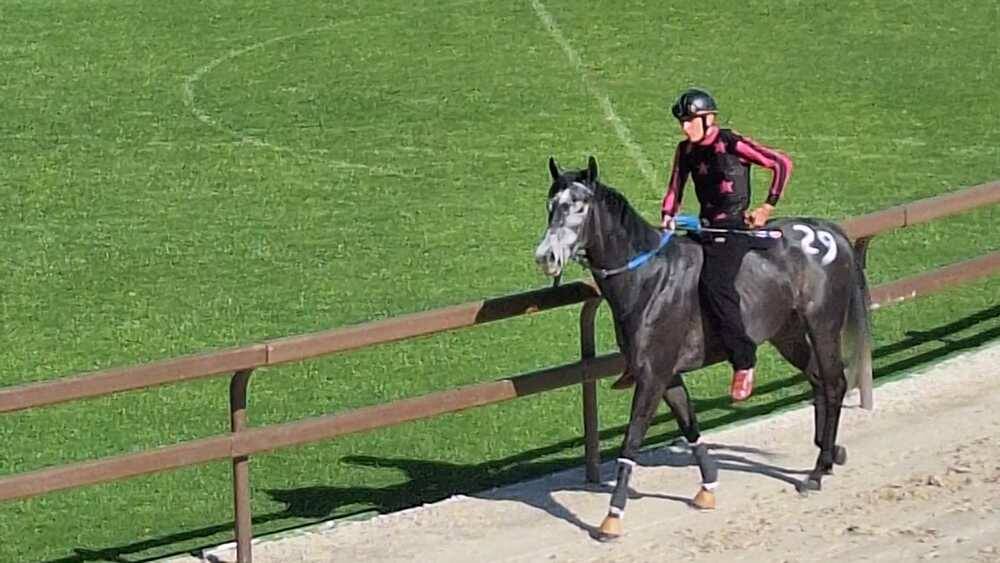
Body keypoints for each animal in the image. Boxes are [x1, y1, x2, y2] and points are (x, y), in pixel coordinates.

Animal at [536, 156, 872, 540]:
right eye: (550, 205)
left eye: (578, 206)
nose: (546, 256)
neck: (649, 278)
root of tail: (828, 230)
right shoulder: (666, 375)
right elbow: (690, 425)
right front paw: (707, 486)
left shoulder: (652, 375)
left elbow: (632, 440)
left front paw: (612, 516)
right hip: (786, 333)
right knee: (817, 379)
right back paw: (828, 454)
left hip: (822, 324)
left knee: (834, 383)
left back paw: (818, 470)